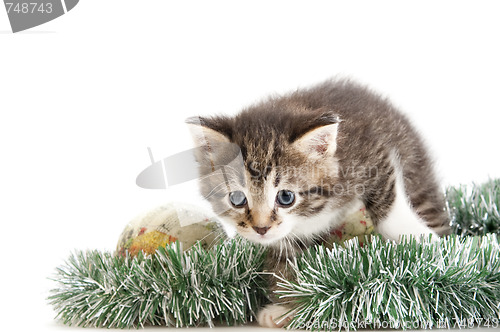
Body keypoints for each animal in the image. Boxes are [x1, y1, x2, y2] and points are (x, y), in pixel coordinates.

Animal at [187, 79, 450, 328]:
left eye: (286, 197)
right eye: (237, 199)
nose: (261, 228)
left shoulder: (372, 155)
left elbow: (388, 206)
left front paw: (420, 239)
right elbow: (286, 258)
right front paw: (287, 306)